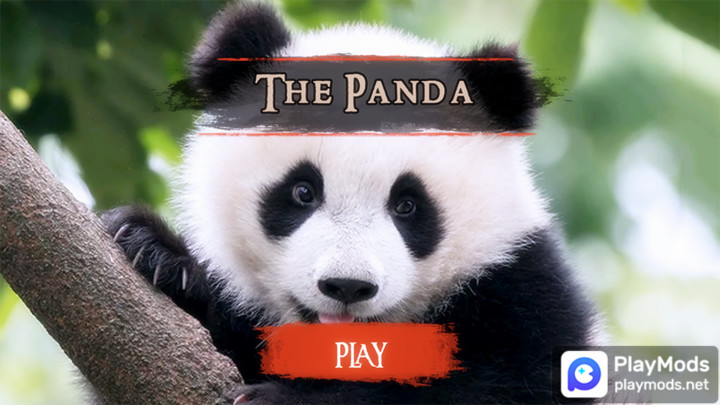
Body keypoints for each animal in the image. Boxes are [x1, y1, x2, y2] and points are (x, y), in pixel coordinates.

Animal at [102, 1, 602, 403]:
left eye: (408, 205)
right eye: (302, 191)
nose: (346, 286)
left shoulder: (523, 289)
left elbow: (505, 384)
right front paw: (158, 253)